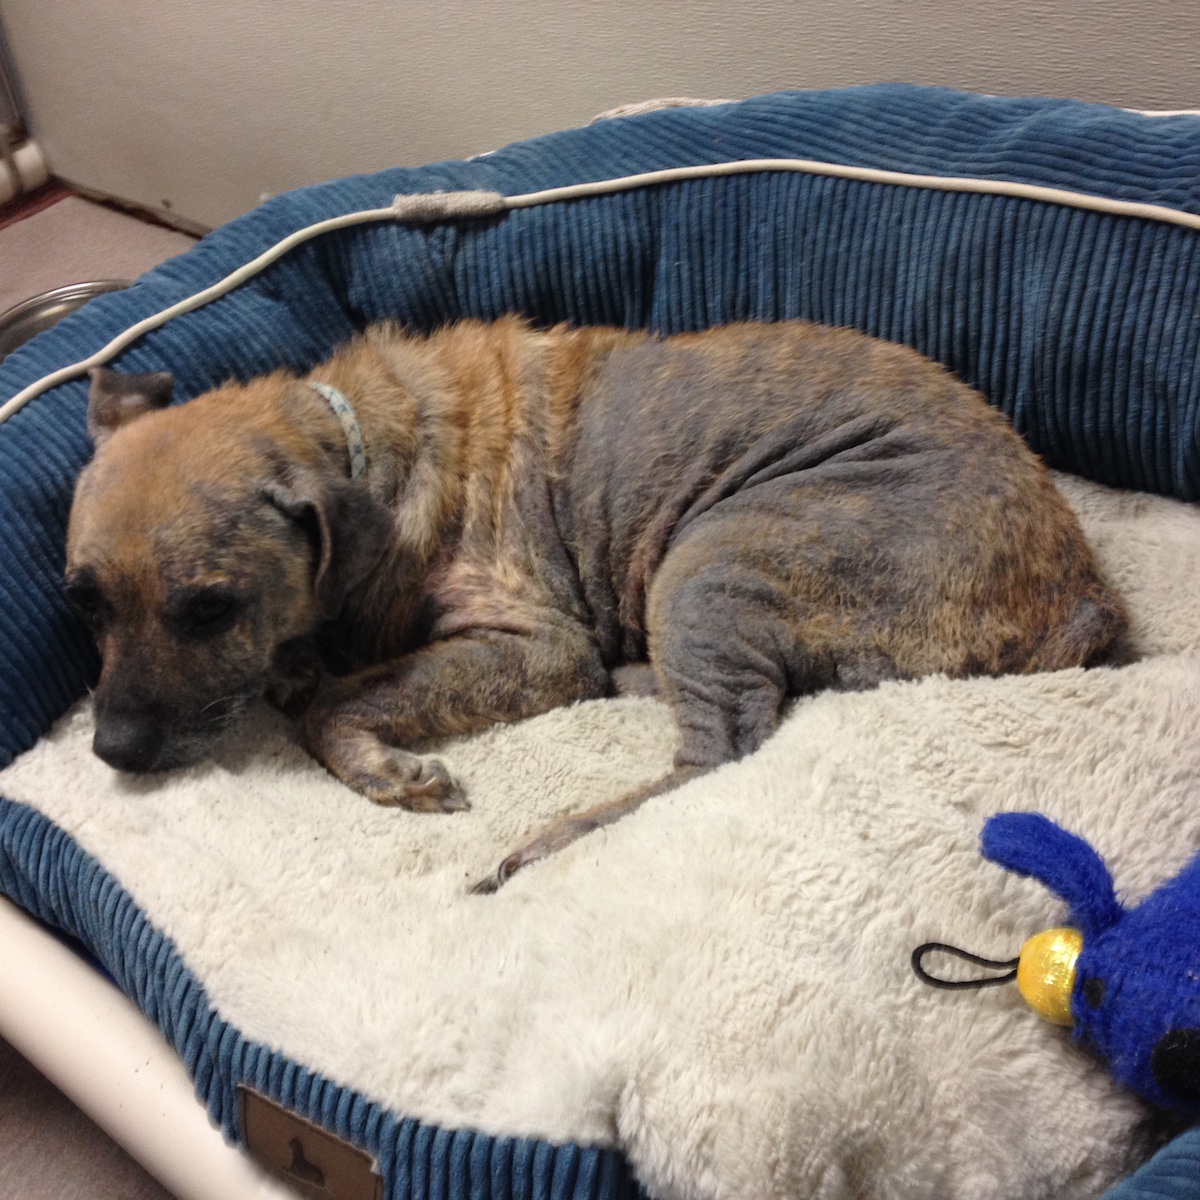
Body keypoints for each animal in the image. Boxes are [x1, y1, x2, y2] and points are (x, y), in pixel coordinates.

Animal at [68, 319, 1123, 892]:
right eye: (83, 601)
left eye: (211, 608)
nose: (110, 752)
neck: (352, 438)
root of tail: (1083, 598)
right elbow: (311, 679)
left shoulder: (537, 646)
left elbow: (330, 708)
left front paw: (387, 769)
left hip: (709, 559)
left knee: (717, 757)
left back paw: (543, 841)